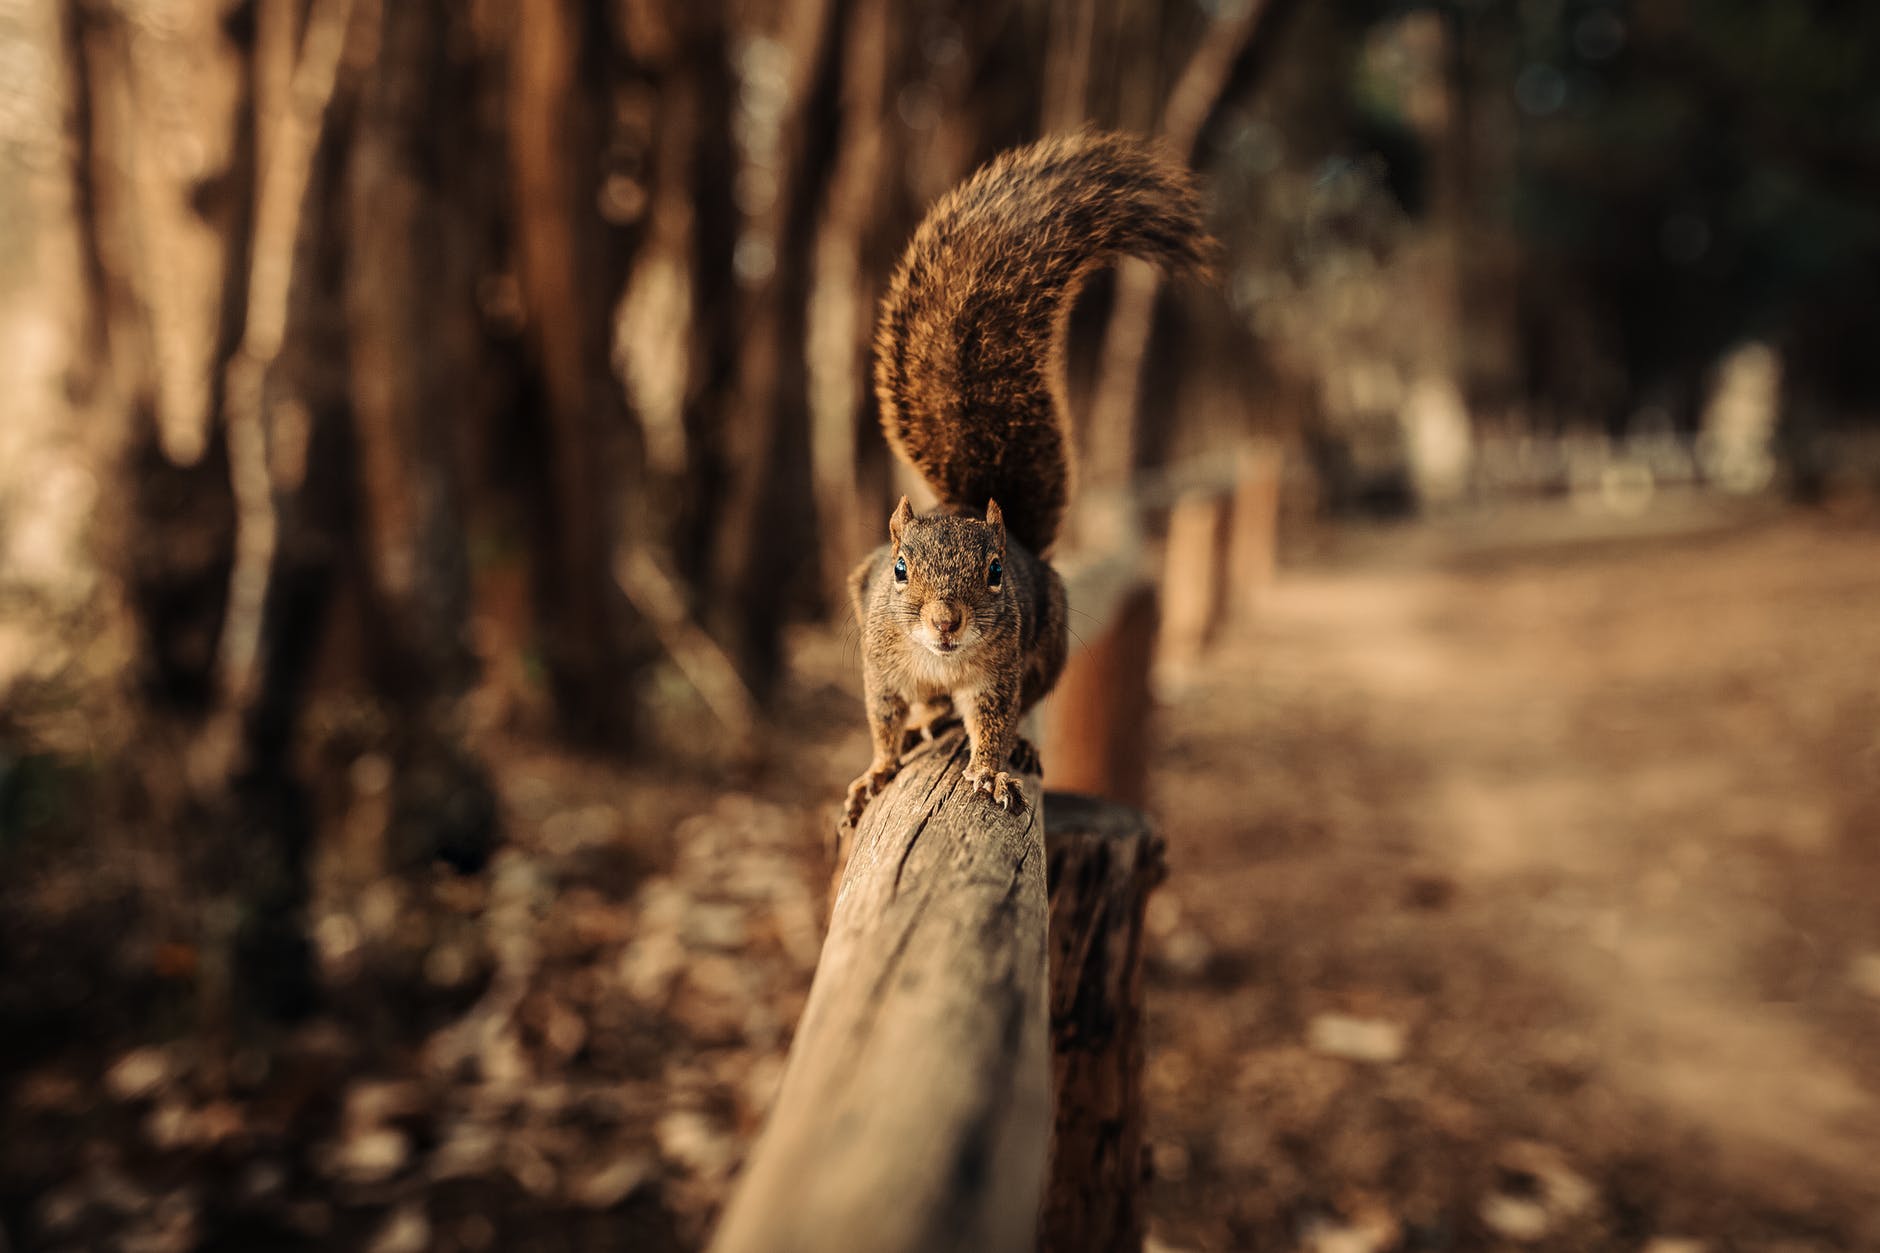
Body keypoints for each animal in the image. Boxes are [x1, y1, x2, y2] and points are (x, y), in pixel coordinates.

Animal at [843, 130, 1215, 826]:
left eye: (994, 573)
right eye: (900, 570)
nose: (947, 622)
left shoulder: (998, 674)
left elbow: (991, 721)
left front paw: (991, 770)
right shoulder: (881, 671)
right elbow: (882, 722)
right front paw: (876, 772)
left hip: (1046, 647)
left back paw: (1010, 744)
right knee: (923, 712)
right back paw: (925, 724)